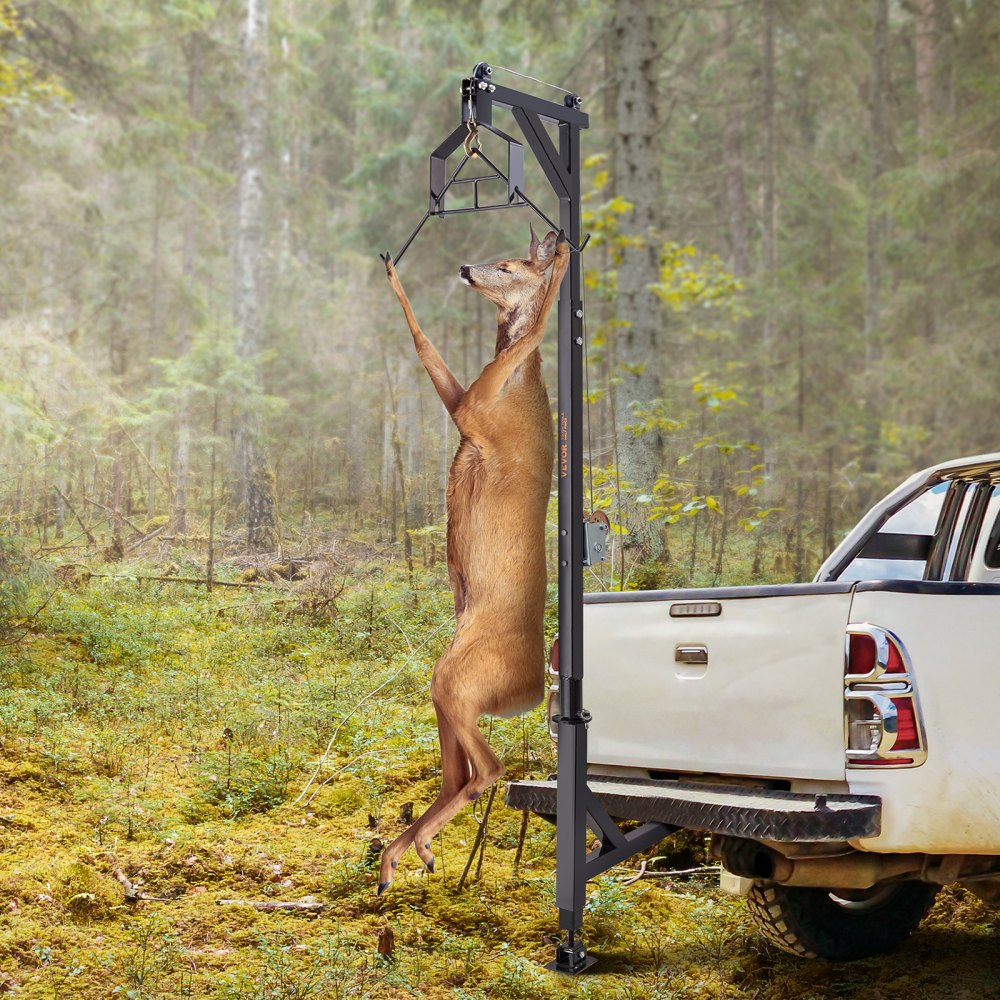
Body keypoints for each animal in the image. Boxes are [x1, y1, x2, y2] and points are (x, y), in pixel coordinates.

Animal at [377, 227, 569, 893]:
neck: (521, 386)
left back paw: (408, 852)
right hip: (449, 683)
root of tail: (532, 690)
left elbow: (425, 340)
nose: (465, 266)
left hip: (459, 678)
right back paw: (402, 855)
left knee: (486, 769)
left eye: (509, 265)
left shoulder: (473, 410)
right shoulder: (469, 406)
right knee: (457, 774)